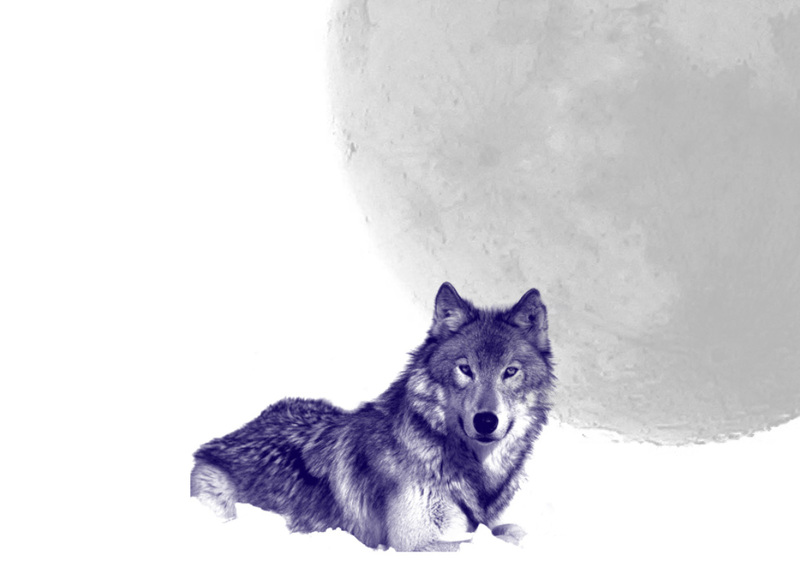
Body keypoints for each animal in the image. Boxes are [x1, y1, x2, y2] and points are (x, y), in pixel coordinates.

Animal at [191, 282, 555, 551]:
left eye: (510, 371)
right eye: (465, 369)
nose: (486, 421)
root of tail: (231, 435)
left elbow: (513, 532)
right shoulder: (414, 543)